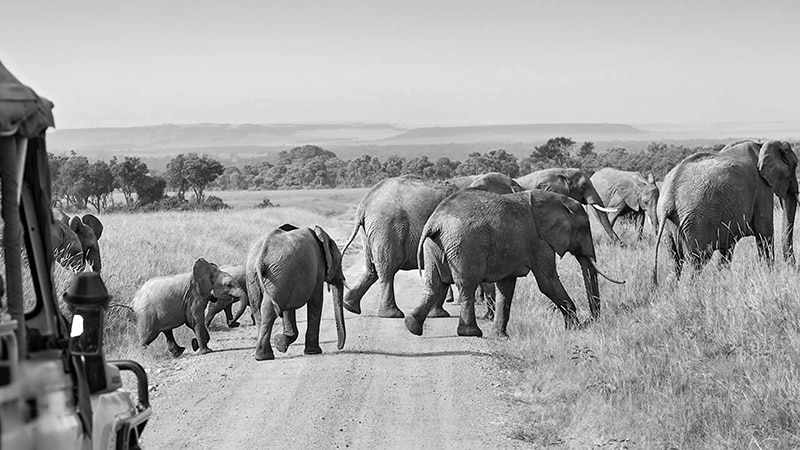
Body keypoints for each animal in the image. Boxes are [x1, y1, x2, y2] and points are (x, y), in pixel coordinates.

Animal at [247, 225, 346, 362]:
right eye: (340, 260)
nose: (338, 347)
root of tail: (260, 257)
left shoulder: (290, 279)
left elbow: (288, 309)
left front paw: (280, 343)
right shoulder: (317, 270)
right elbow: (316, 301)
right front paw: (313, 352)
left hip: (260, 276)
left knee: (258, 310)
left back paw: (262, 356)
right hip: (277, 275)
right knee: (269, 309)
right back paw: (265, 356)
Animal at [340, 172, 520, 316]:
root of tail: (364, 203)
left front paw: (438, 314)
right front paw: (488, 316)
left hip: (371, 230)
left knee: (372, 269)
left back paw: (349, 306)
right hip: (387, 227)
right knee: (387, 268)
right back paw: (391, 314)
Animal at [406, 187, 624, 338]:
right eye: (585, 228)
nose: (590, 321)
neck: (556, 200)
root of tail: (435, 222)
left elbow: (506, 286)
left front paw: (500, 336)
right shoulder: (540, 242)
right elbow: (547, 283)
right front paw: (574, 329)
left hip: (435, 246)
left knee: (435, 284)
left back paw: (412, 325)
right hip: (465, 245)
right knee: (467, 285)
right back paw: (471, 333)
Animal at [652, 139, 796, 284]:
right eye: (795, 165)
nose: (793, 270)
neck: (761, 145)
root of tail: (669, 197)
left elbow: (727, 248)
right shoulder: (761, 188)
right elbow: (765, 233)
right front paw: (769, 276)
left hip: (670, 225)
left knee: (674, 262)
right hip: (694, 223)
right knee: (698, 260)